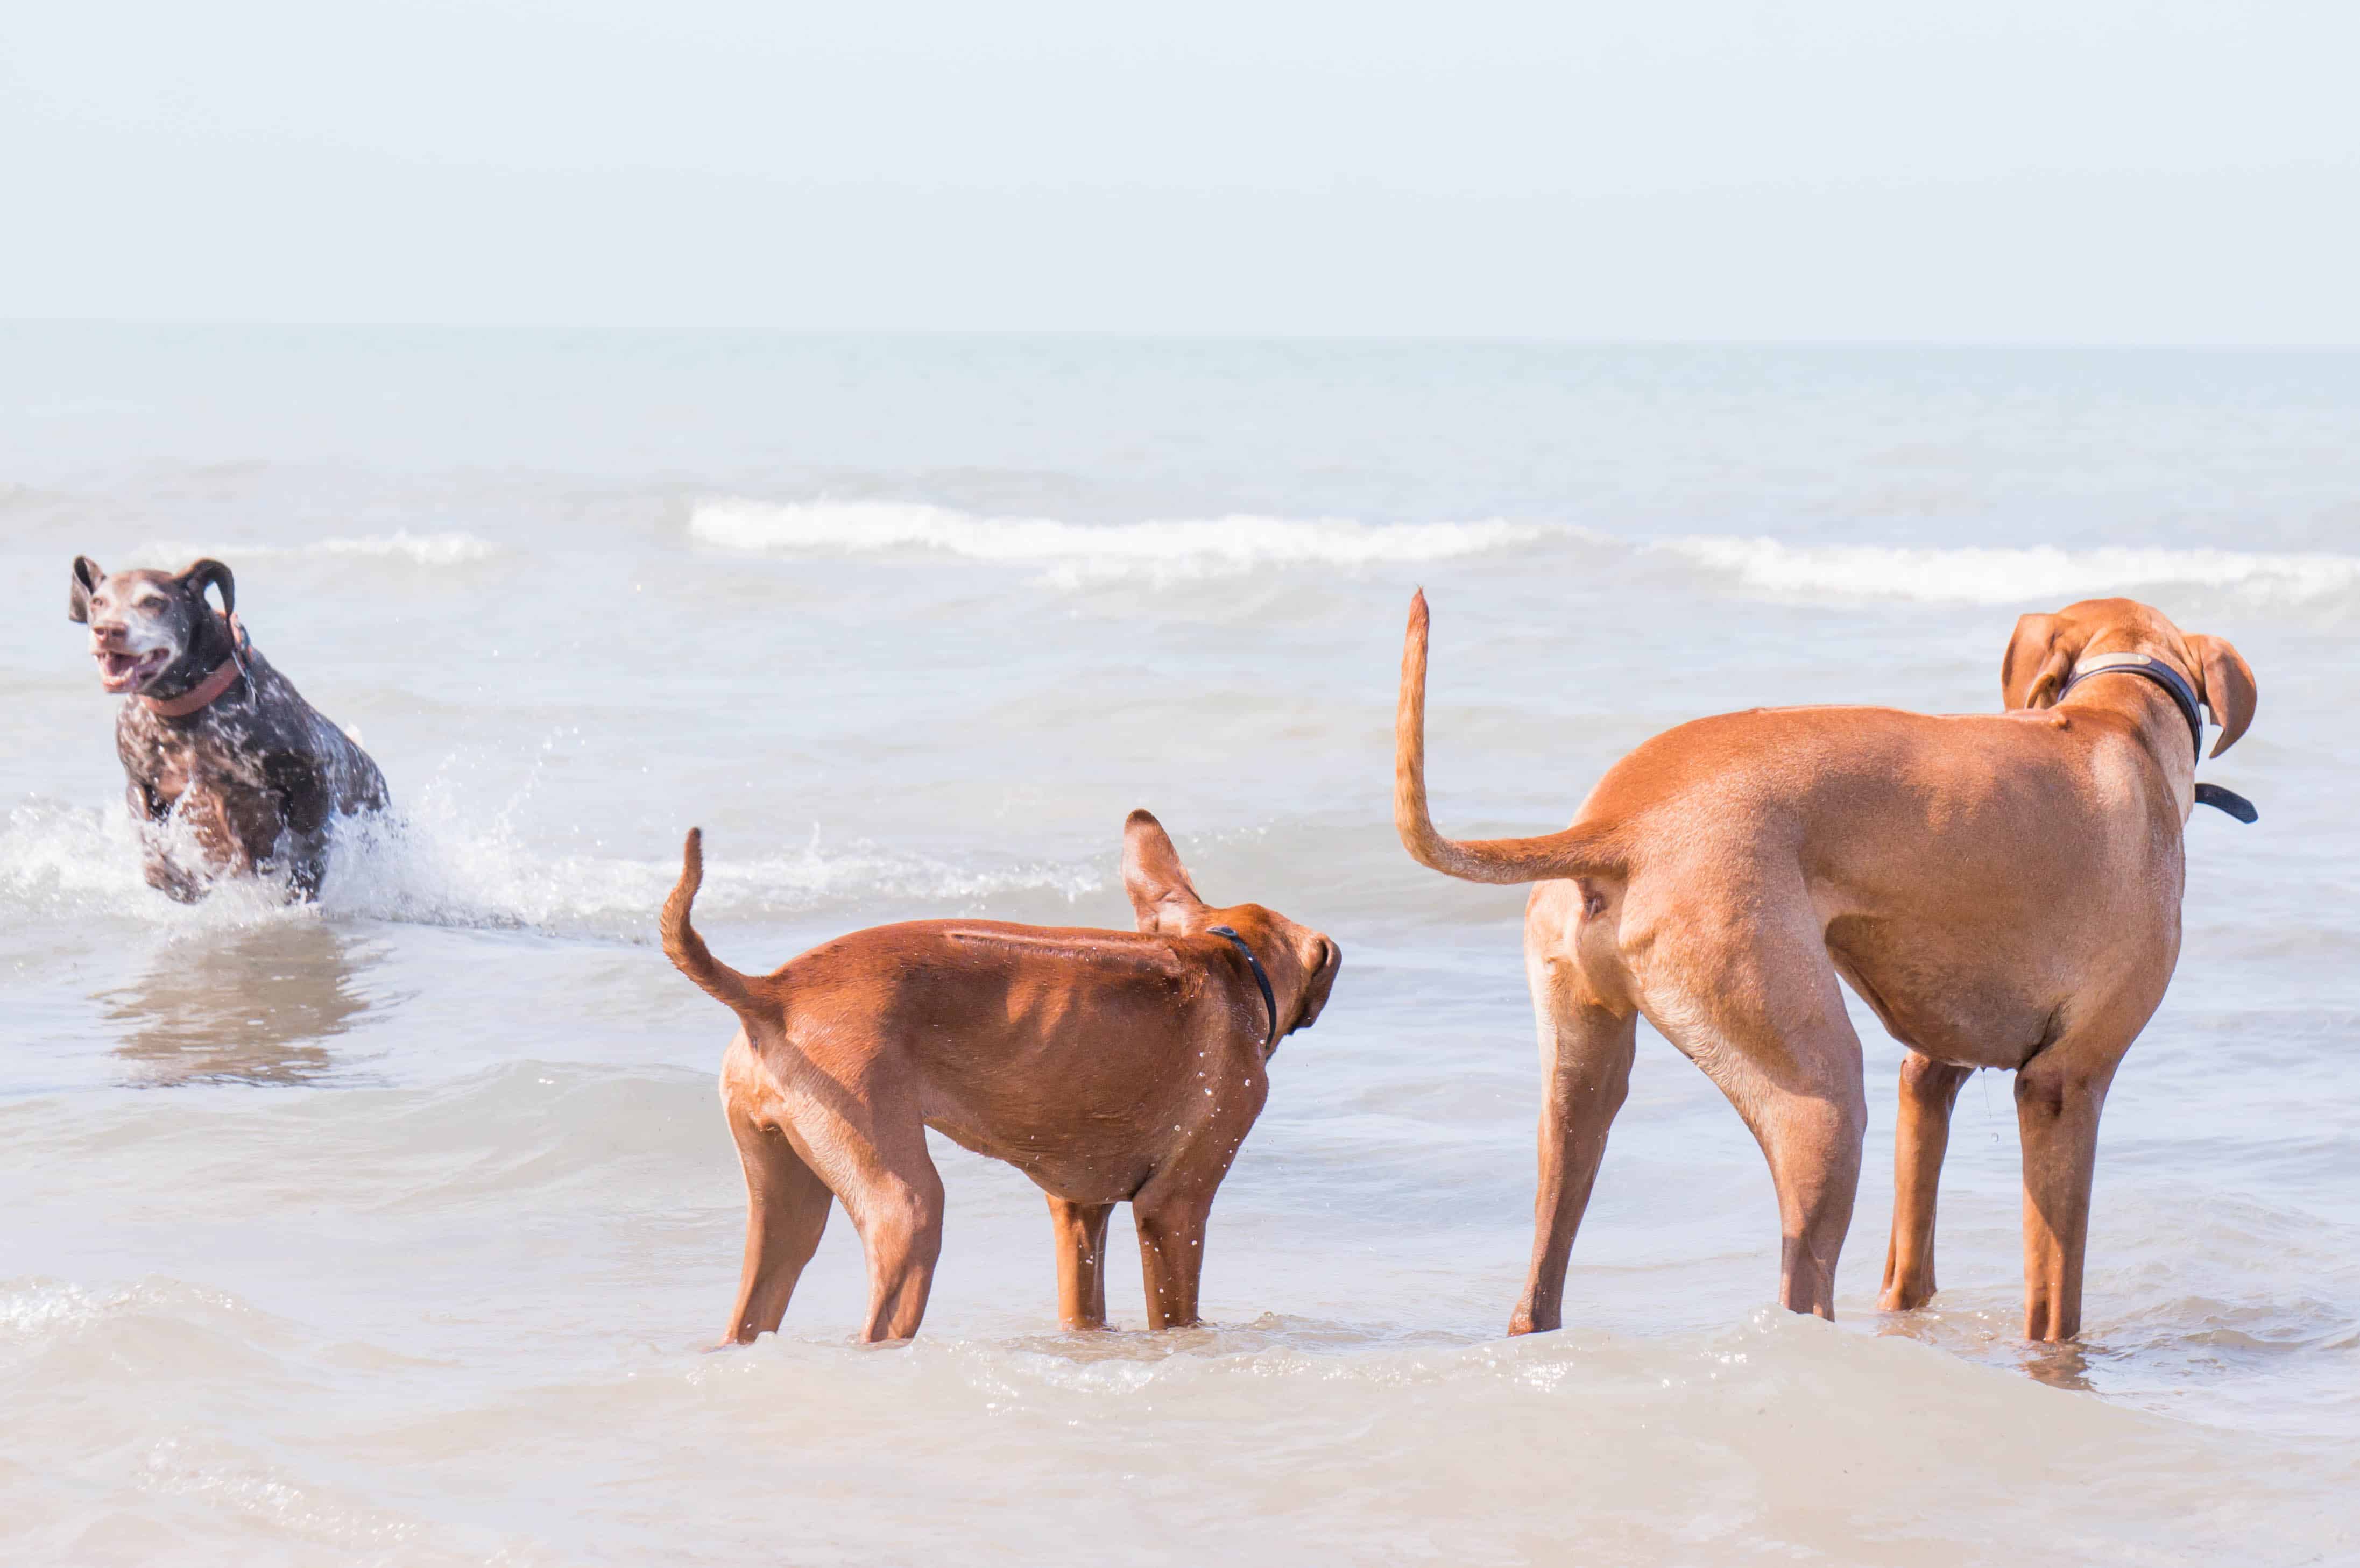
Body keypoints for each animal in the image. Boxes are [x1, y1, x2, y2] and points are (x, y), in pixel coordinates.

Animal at [69, 554, 387, 900]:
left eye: (153, 602)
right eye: (98, 602)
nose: (108, 630)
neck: (183, 717)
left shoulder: (310, 780)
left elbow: (307, 855)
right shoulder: (141, 785)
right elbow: (154, 857)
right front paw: (180, 882)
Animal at [1387, 594, 2256, 1339]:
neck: (2120, 713)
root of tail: (1622, 822)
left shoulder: (1928, 1073)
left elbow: (1910, 1263)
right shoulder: (2063, 1086)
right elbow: (2053, 1301)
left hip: (1579, 1093)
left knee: (1546, 1256)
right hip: (1822, 1099)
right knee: (1802, 1291)